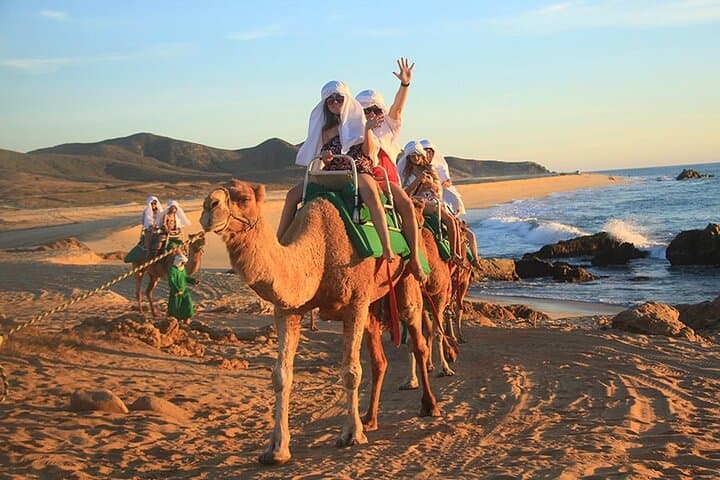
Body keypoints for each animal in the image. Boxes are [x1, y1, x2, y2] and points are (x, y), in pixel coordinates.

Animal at [199, 179, 440, 465]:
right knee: (379, 359)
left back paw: (429, 405)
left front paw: (351, 435)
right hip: (372, 301)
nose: (209, 206)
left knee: (416, 335)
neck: (319, 249)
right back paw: (370, 420)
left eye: (244, 198)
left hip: (405, 279)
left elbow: (351, 371)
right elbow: (281, 375)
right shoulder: (288, 309)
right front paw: (276, 449)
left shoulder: (354, 302)